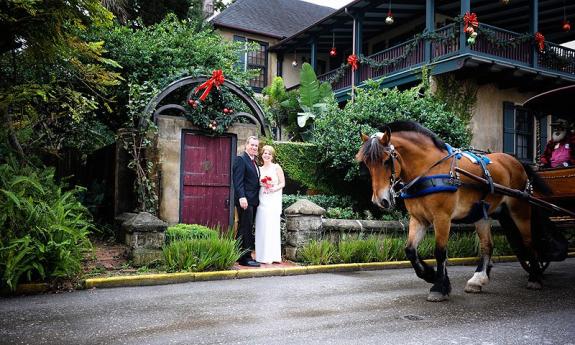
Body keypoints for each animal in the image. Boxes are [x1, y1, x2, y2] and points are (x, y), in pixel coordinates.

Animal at [358, 121, 552, 300]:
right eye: (367, 163)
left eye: (386, 161)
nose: (380, 200)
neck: (428, 168)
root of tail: (516, 161)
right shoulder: (418, 219)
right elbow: (410, 250)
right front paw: (430, 275)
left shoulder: (442, 217)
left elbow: (440, 251)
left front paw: (439, 287)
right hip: (482, 214)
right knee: (487, 245)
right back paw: (478, 280)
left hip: (520, 210)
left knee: (529, 242)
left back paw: (535, 277)